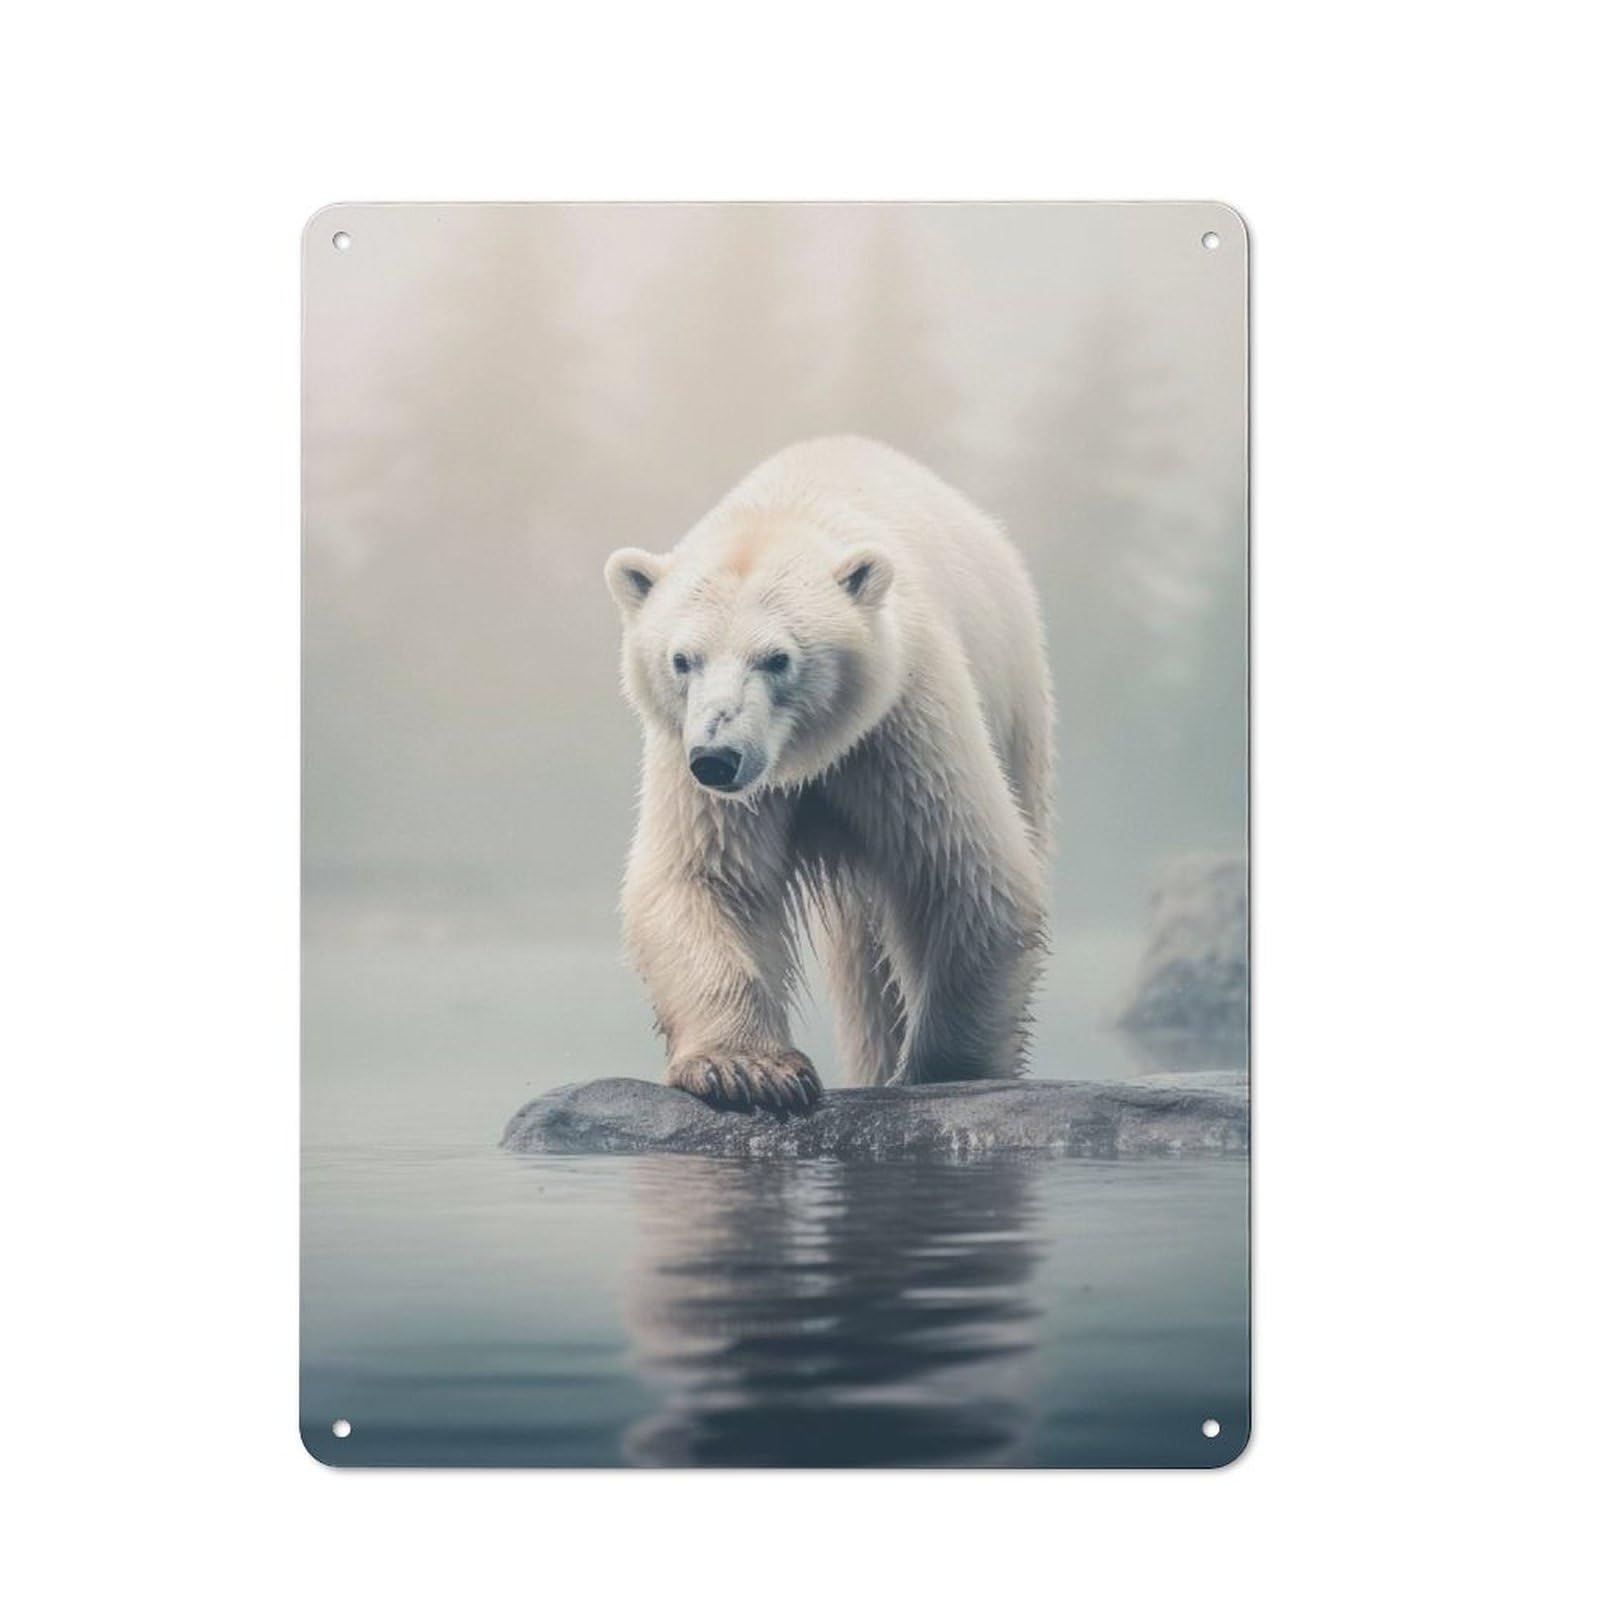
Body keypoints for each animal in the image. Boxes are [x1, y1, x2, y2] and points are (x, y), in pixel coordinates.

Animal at [603, 436, 1053, 1111]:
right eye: (683, 659)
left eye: (777, 658)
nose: (718, 757)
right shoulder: (693, 768)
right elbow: (706, 876)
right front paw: (747, 1070)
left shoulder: (900, 719)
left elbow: (963, 873)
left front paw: (942, 1072)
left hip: (1018, 709)